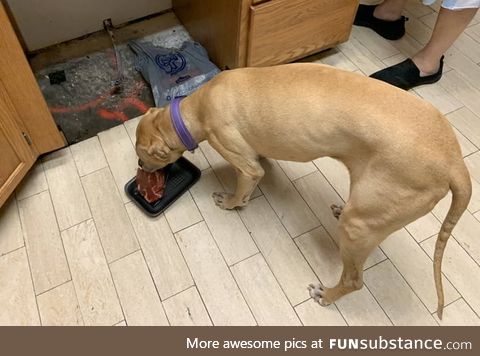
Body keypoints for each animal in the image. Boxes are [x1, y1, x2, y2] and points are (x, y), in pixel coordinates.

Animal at [136, 62, 472, 318]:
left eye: (141, 155)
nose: (140, 168)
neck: (194, 109)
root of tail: (454, 162)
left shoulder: (242, 162)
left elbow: (244, 186)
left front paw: (230, 201)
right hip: (371, 210)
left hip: (360, 224)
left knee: (354, 280)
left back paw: (327, 294)